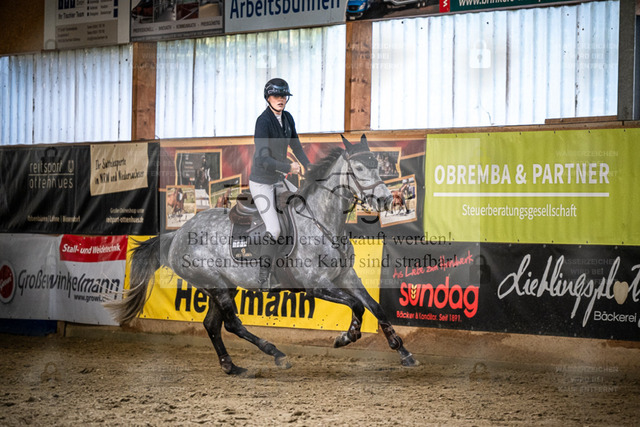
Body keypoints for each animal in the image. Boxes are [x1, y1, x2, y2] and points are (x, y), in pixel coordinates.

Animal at [106, 135, 418, 375]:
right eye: (359, 167)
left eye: (377, 164)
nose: (385, 199)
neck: (322, 221)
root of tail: (178, 234)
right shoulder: (316, 285)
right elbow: (356, 306)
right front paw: (346, 336)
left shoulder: (346, 276)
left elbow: (374, 306)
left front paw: (402, 351)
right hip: (213, 283)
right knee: (232, 324)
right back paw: (275, 353)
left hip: (223, 285)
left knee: (212, 324)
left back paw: (231, 366)